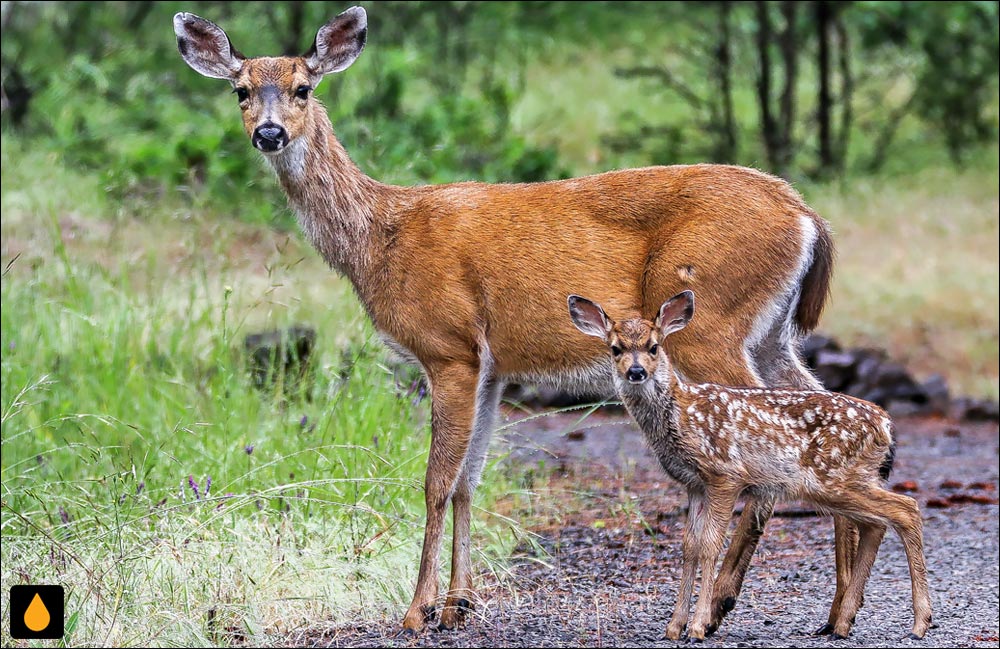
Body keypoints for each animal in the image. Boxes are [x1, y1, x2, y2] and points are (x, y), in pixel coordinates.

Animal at [174, 6, 844, 632]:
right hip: (771, 335)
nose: (268, 133)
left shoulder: (449, 347)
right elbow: (470, 479)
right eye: (240, 90)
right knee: (822, 409)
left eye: (302, 87)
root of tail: (807, 215)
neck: (382, 238)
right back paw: (827, 609)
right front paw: (458, 603)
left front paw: (418, 609)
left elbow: (436, 481)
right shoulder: (492, 366)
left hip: (709, 323)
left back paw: (720, 603)